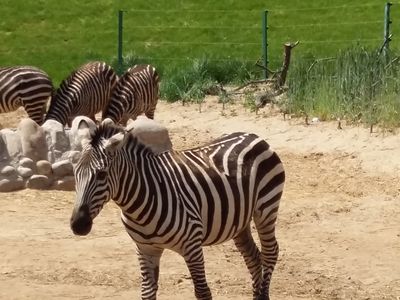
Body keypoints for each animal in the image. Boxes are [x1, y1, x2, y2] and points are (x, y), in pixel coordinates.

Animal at [71, 121, 284, 300]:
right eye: (75, 173)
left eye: (101, 174)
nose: (78, 225)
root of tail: (253, 135)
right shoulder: (145, 249)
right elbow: (147, 293)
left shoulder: (192, 246)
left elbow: (202, 292)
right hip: (239, 220)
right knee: (254, 257)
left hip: (266, 208)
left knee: (270, 252)